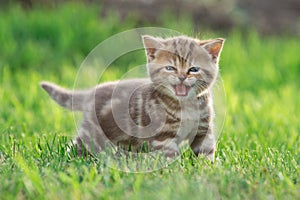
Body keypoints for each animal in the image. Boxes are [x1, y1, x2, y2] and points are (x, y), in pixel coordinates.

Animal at [41, 34, 225, 162]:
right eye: (170, 68)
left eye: (193, 69)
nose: (181, 77)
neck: (186, 106)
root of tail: (92, 92)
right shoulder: (163, 137)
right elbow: (170, 157)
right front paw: (176, 175)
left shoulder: (203, 130)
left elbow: (206, 152)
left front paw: (207, 170)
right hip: (93, 133)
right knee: (78, 145)